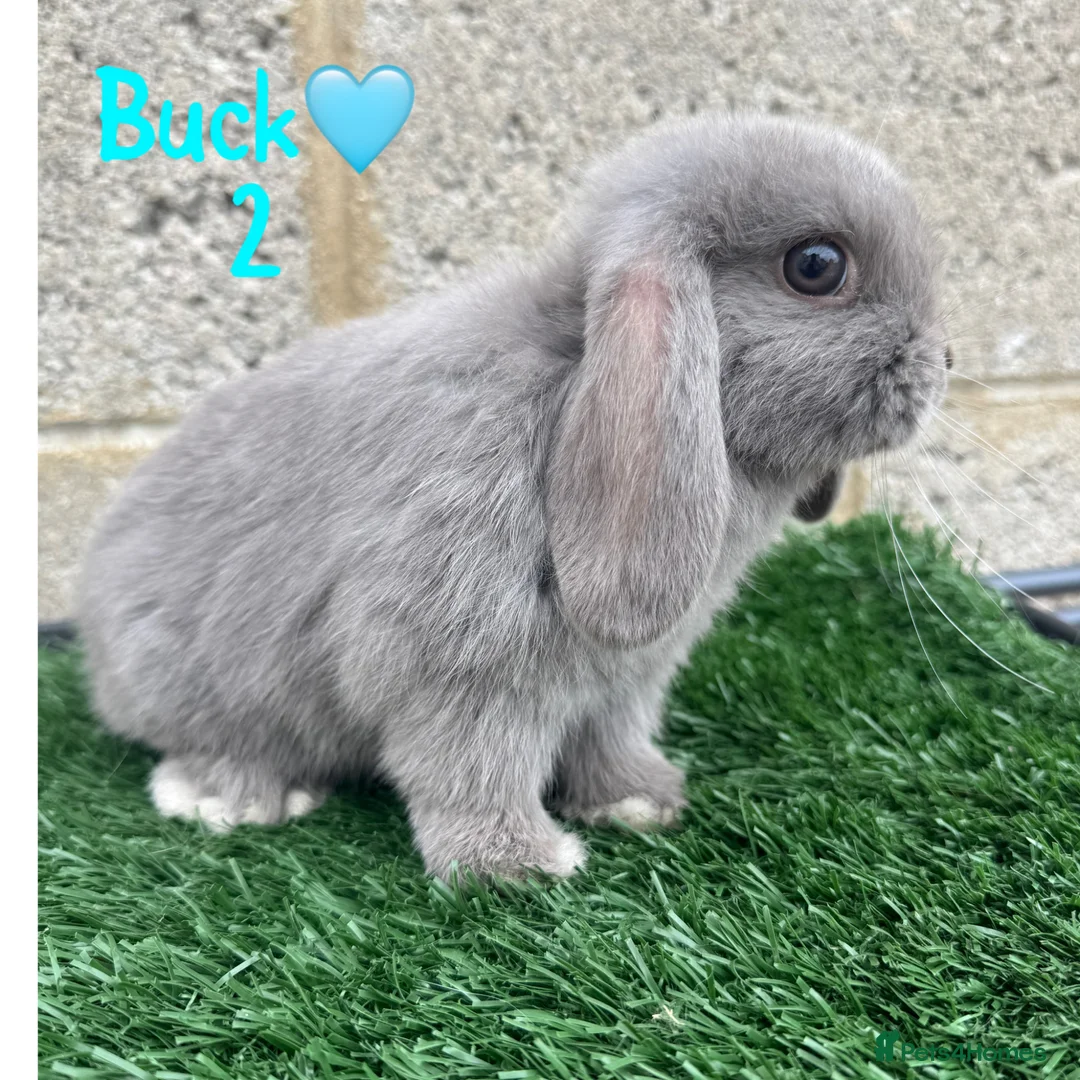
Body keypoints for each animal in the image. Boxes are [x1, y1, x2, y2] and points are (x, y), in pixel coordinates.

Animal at [77, 112, 949, 881]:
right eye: (816, 266)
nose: (942, 362)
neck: (572, 370)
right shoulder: (454, 661)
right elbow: (467, 766)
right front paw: (515, 866)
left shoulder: (626, 679)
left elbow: (609, 739)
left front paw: (640, 802)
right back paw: (240, 796)